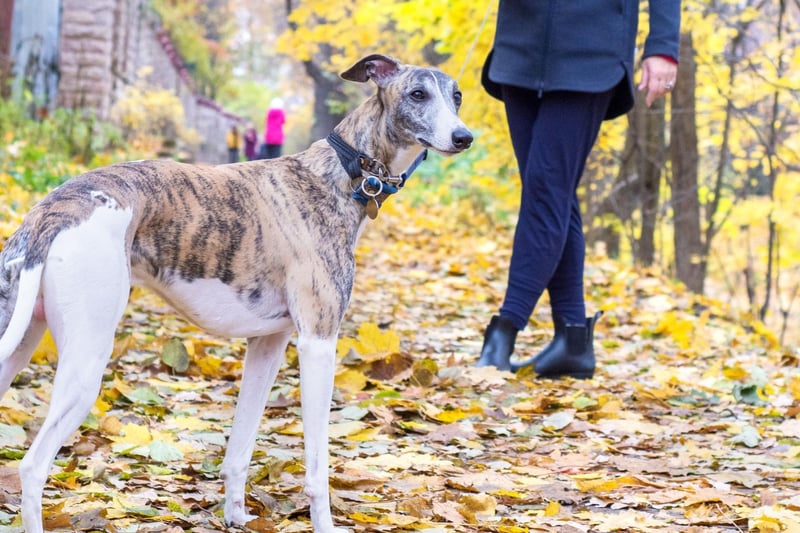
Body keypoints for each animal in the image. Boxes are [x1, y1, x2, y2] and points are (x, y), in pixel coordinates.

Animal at [0, 55, 468, 532]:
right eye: (417, 94)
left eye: (458, 96)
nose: (463, 137)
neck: (341, 173)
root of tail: (52, 213)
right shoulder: (318, 343)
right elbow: (317, 468)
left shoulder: (268, 344)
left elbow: (241, 445)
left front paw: (237, 516)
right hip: (87, 360)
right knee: (32, 466)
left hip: (16, 340)